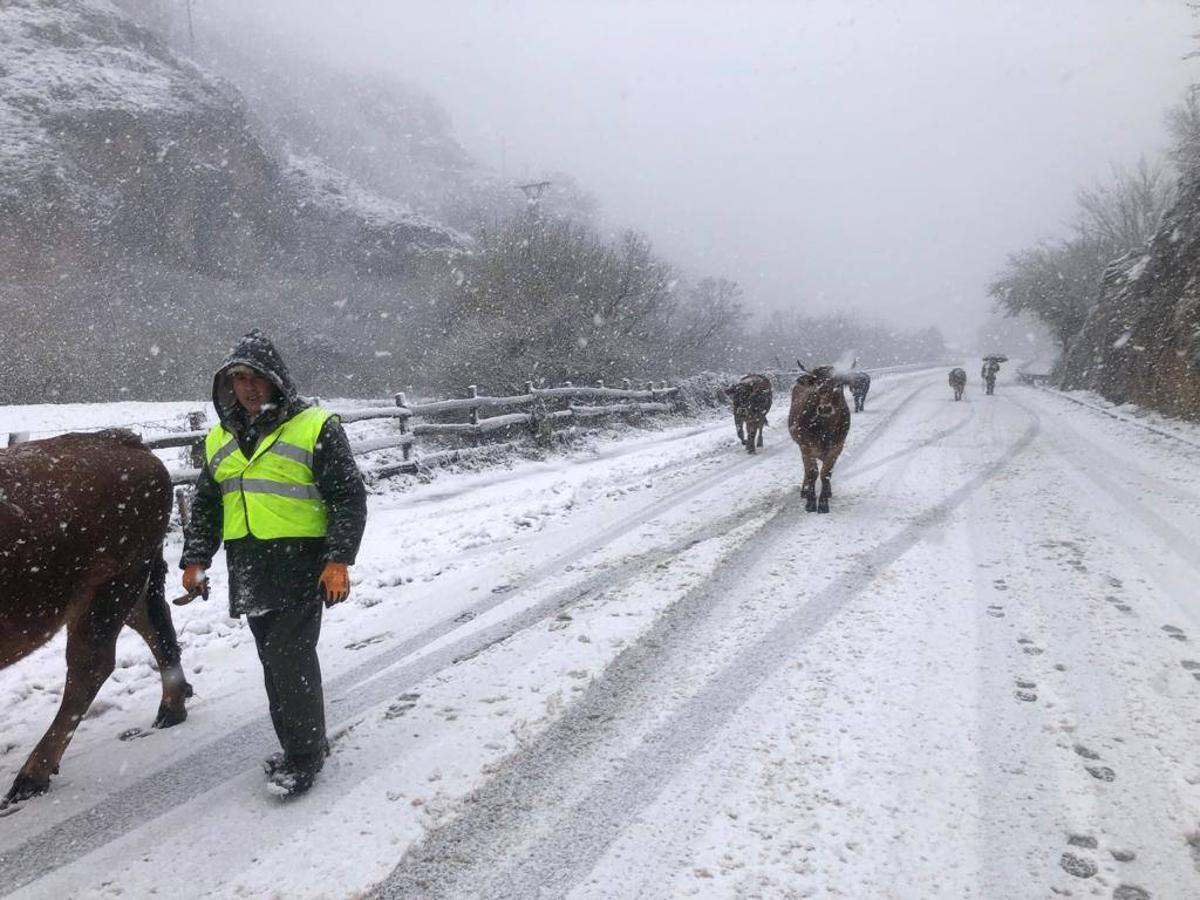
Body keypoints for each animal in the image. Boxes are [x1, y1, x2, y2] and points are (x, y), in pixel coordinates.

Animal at [0, 432, 189, 811]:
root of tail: (123, 439)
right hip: (122, 590)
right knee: (153, 624)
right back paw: (172, 707)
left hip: (108, 592)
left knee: (89, 669)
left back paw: (30, 778)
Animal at [787, 362, 854, 513]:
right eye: (818, 383)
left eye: (838, 384)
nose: (825, 408)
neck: (825, 427)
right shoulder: (806, 446)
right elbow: (812, 472)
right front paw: (811, 502)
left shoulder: (837, 446)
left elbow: (826, 473)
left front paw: (823, 503)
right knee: (807, 469)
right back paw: (805, 491)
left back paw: (828, 491)